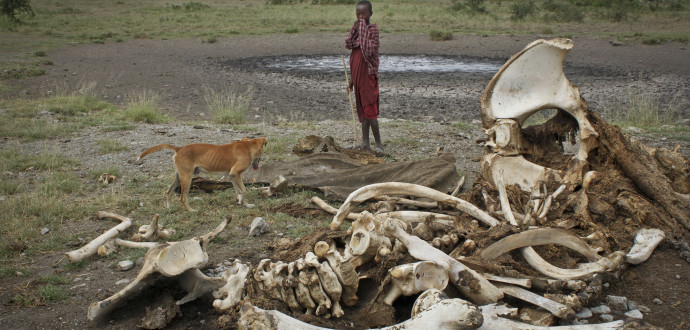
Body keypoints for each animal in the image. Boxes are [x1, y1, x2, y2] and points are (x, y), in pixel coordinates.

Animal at [137, 137, 266, 211]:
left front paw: (241, 203)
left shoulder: (232, 175)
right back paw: (191, 210)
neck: (248, 145)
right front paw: (246, 204)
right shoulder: (236, 174)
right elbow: (243, 190)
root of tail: (179, 148)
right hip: (187, 178)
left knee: (169, 191)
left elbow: (238, 191)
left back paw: (169, 208)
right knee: (182, 198)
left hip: (179, 177)